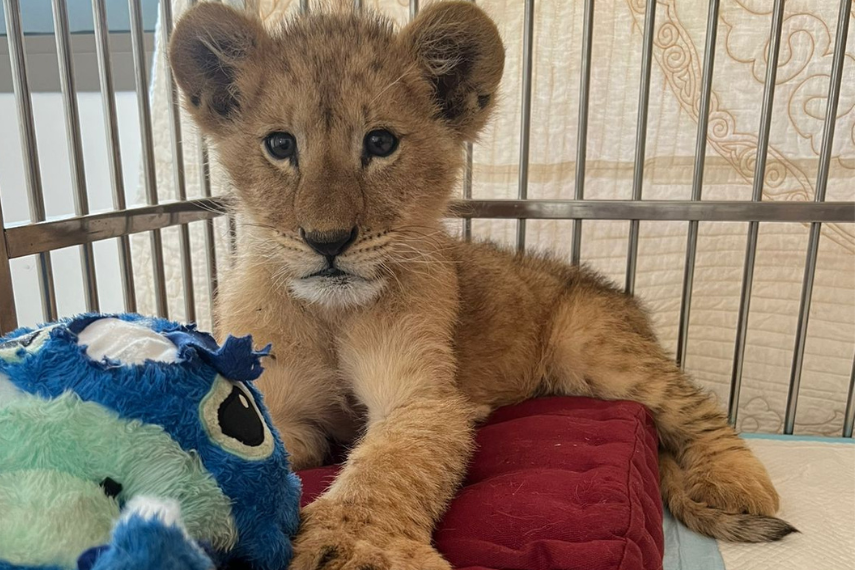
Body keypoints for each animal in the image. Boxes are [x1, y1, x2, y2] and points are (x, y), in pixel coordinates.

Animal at [169, 2, 796, 568]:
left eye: (380, 143)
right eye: (279, 145)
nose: (328, 240)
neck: (331, 313)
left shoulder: (425, 397)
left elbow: (390, 465)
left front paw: (353, 547)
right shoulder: (273, 404)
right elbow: (252, 449)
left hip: (597, 348)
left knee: (696, 409)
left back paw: (738, 481)